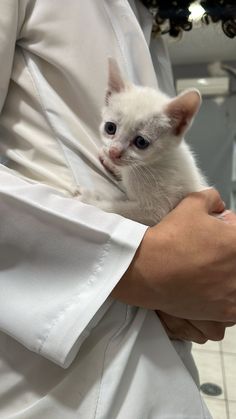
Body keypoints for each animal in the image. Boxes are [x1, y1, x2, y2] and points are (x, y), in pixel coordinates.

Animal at [81, 59, 208, 226]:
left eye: (141, 142)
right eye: (110, 128)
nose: (114, 152)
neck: (151, 165)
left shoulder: (156, 211)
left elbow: (120, 210)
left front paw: (90, 201)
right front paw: (110, 161)